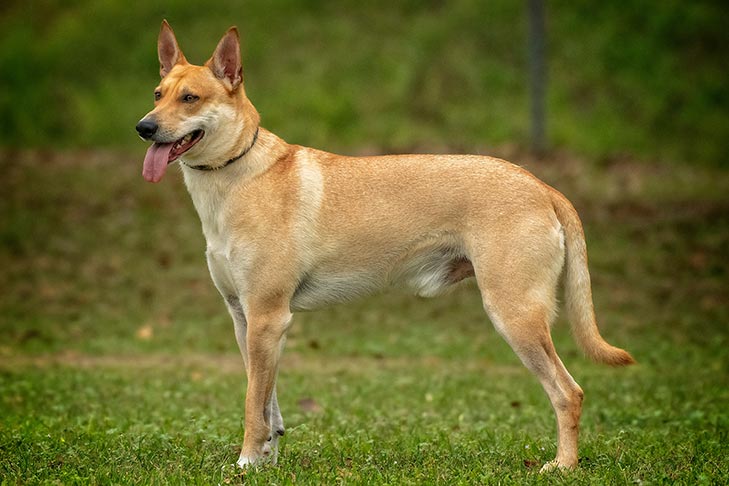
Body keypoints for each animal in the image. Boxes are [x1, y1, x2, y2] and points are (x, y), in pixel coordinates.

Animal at [135, 21, 632, 470]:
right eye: (158, 94)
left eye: (190, 98)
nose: (143, 127)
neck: (238, 175)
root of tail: (542, 186)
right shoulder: (248, 320)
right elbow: (268, 403)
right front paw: (267, 461)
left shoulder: (267, 317)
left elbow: (250, 407)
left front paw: (245, 462)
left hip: (515, 315)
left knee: (569, 393)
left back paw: (563, 466)